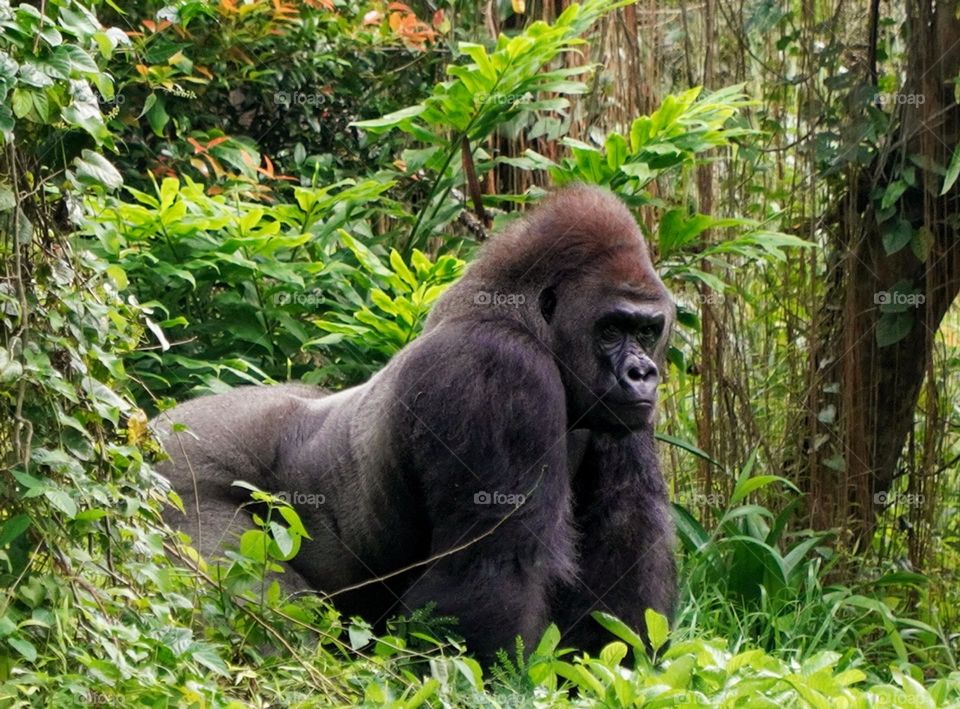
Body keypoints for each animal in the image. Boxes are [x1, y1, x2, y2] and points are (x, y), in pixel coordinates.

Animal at [153, 183, 677, 660]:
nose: (643, 373)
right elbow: (493, 565)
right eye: (610, 329)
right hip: (176, 486)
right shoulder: (496, 368)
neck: (528, 324)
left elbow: (624, 533)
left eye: (647, 331)